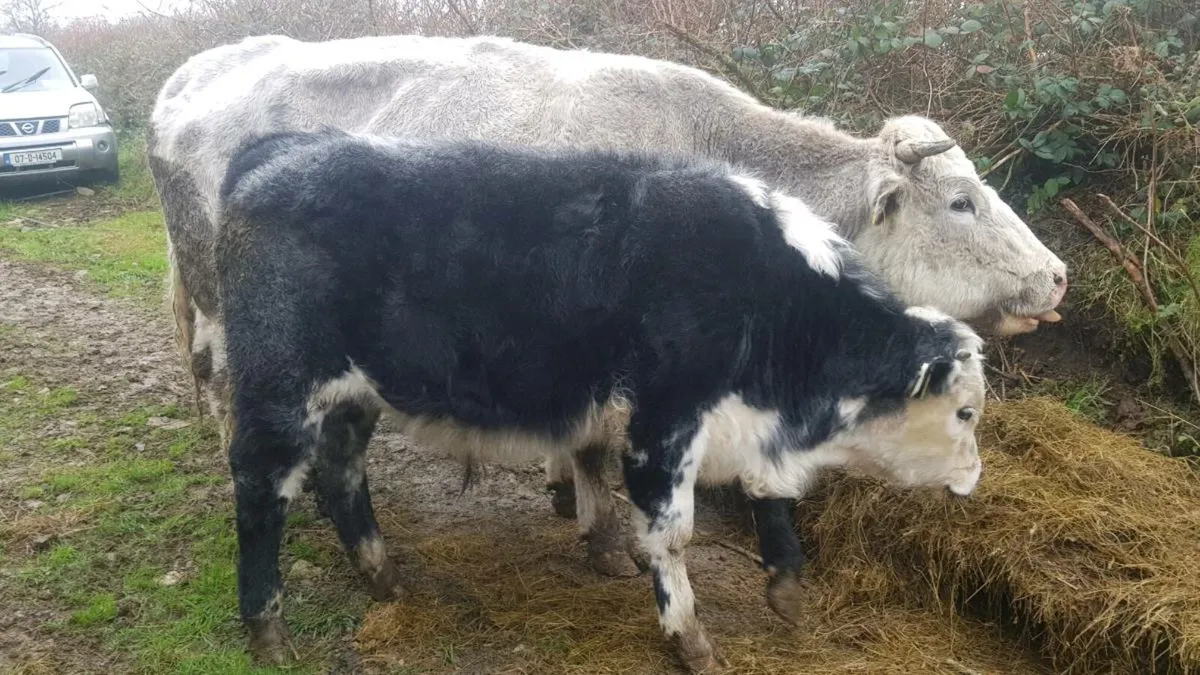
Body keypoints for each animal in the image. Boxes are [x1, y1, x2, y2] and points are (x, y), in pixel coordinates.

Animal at [148, 33, 1056, 578]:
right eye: (963, 203)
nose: (1058, 276)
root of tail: (191, 74)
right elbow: (594, 446)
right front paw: (605, 536)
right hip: (236, 308)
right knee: (221, 382)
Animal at [215, 129, 988, 672]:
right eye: (966, 412)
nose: (974, 480)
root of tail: (286, 148)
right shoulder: (664, 424)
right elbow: (671, 533)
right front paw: (688, 636)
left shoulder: (742, 425)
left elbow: (771, 497)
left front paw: (787, 586)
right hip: (278, 389)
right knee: (261, 488)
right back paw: (266, 626)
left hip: (351, 396)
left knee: (342, 472)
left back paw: (382, 576)